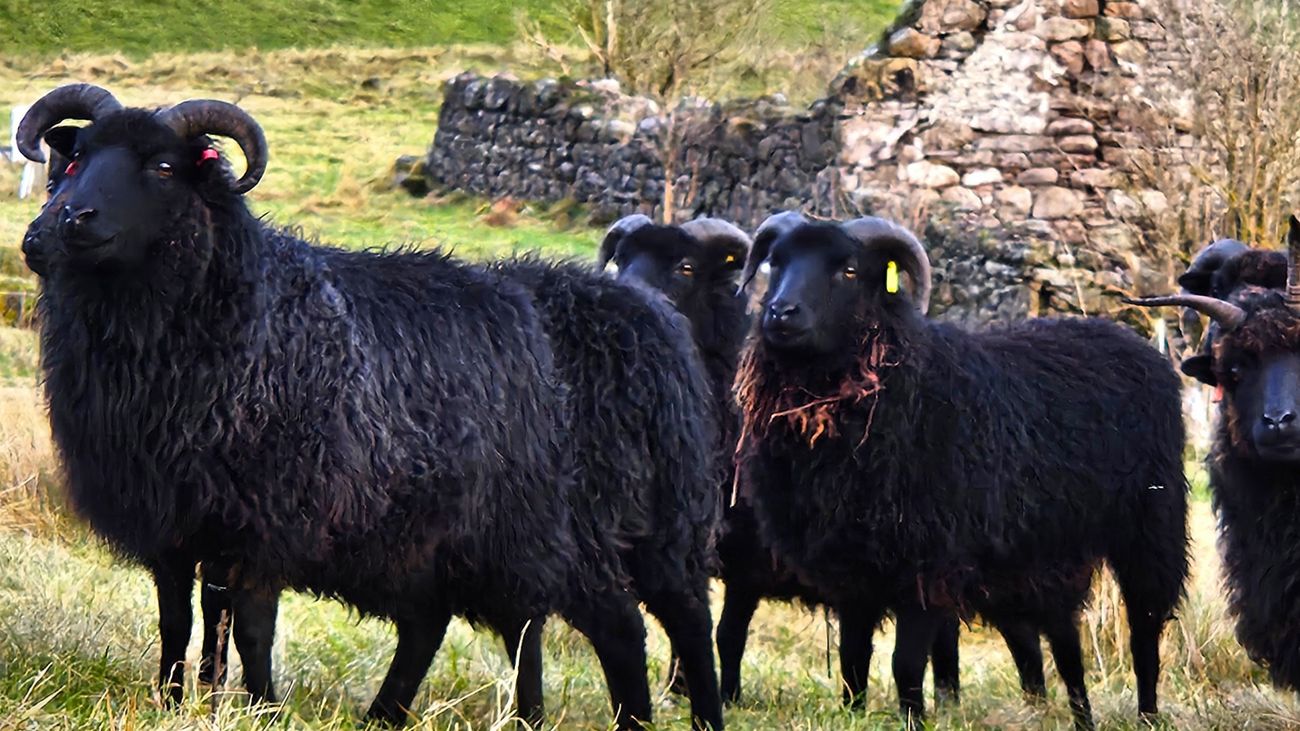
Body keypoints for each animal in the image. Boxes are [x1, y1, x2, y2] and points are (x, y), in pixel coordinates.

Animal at [16, 83, 711, 730]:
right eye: (77, 156)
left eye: (162, 167)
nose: (61, 225)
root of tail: (646, 313)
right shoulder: (177, 515)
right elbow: (181, 620)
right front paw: (178, 702)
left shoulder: (268, 517)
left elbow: (250, 626)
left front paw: (260, 706)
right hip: (465, 537)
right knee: (479, 627)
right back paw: (402, 715)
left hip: (638, 529)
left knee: (662, 624)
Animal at [597, 215, 1049, 708]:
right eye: (621, 258)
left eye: (686, 267)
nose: (625, 302)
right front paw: (679, 690)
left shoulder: (751, 560)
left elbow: (727, 634)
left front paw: (726, 696)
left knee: (1014, 632)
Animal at [731, 212, 1189, 729]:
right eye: (776, 262)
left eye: (848, 270)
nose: (780, 313)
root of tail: (1132, 340)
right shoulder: (852, 569)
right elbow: (852, 661)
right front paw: (854, 713)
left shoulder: (927, 566)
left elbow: (906, 664)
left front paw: (913, 719)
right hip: (1048, 556)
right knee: (1063, 640)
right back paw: (1081, 717)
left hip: (1151, 526)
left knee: (1145, 631)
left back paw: (1147, 714)